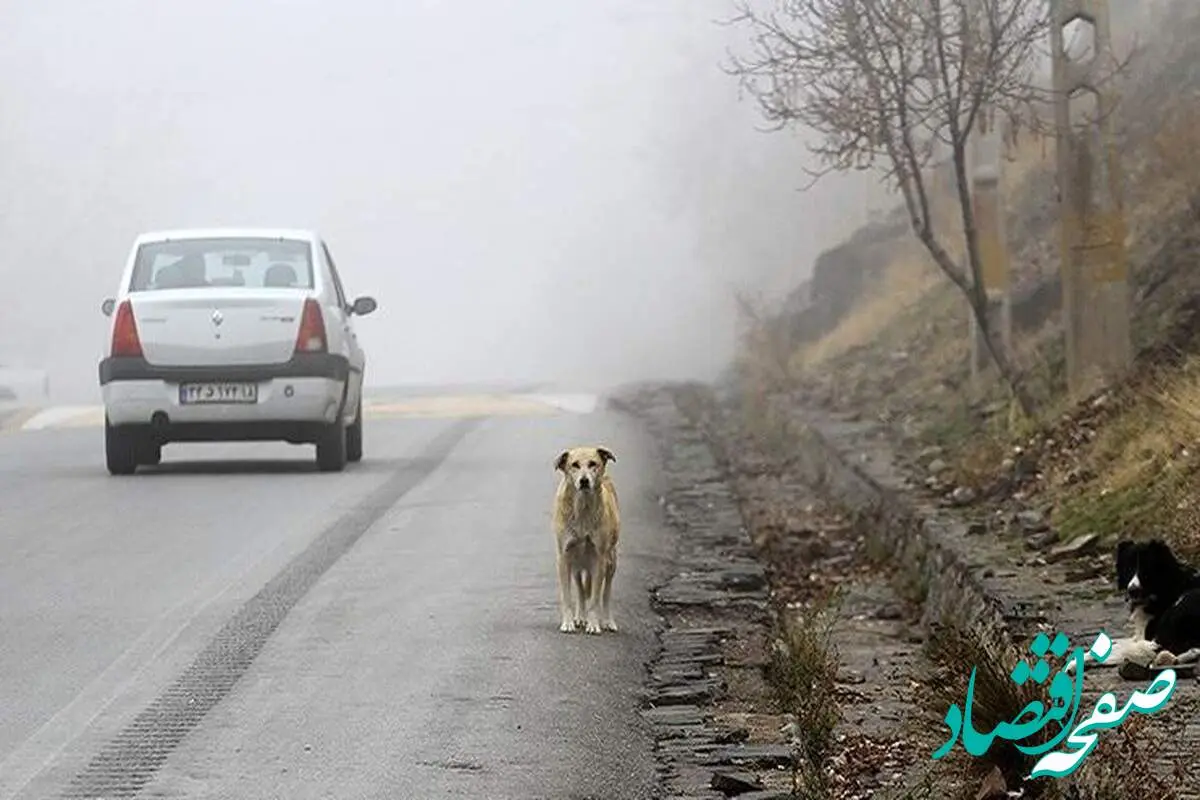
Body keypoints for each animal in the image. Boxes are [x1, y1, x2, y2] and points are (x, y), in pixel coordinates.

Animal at [554, 448, 624, 633]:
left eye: (593, 464)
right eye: (574, 465)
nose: (584, 481)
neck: (582, 508)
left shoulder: (599, 558)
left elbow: (595, 597)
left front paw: (593, 625)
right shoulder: (564, 557)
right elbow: (567, 596)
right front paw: (568, 623)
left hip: (611, 561)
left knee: (605, 593)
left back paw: (607, 621)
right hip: (576, 563)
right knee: (580, 589)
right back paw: (580, 617)